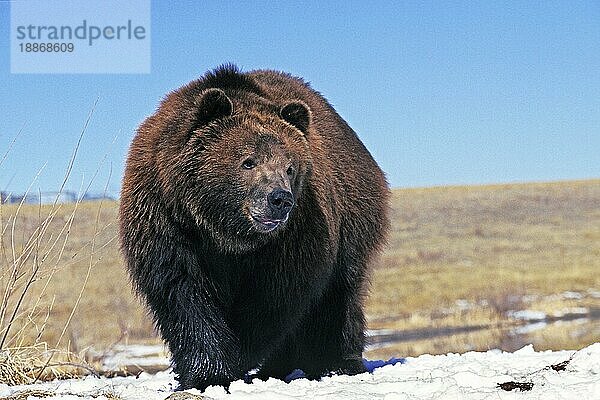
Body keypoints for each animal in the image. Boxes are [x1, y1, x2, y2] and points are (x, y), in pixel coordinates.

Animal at [119, 65, 392, 390]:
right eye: (248, 161)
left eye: (290, 167)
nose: (280, 199)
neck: (226, 233)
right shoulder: (167, 220)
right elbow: (182, 292)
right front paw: (207, 373)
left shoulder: (295, 236)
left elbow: (274, 299)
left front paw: (239, 356)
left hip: (352, 223)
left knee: (339, 297)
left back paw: (336, 363)